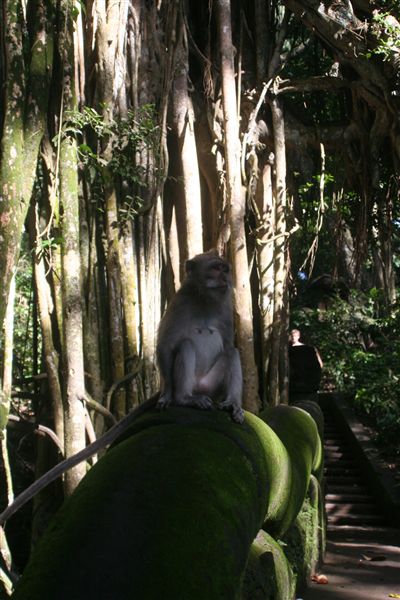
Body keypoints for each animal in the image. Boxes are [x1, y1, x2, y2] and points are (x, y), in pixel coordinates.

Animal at [155, 251, 244, 424]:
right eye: (216, 268)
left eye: (225, 270)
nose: (225, 278)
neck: (204, 300)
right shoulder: (179, 303)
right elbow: (166, 344)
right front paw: (167, 394)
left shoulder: (226, 308)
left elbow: (228, 345)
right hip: (194, 384)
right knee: (186, 345)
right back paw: (184, 398)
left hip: (210, 386)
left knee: (232, 352)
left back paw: (232, 402)